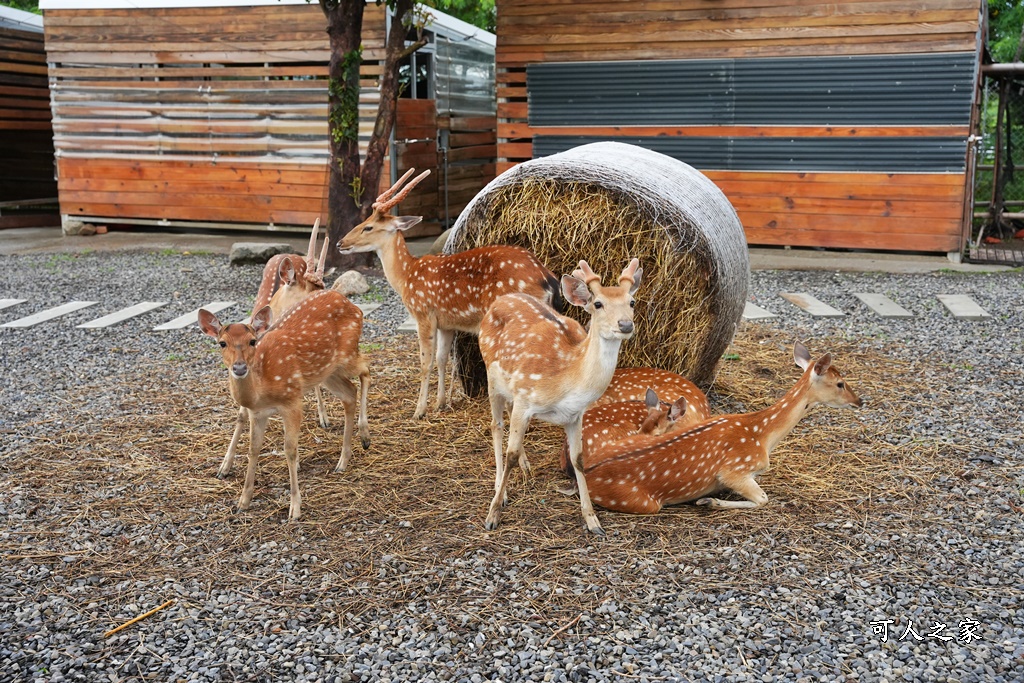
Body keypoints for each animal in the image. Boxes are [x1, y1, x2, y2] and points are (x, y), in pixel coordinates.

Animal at [197, 286, 370, 518]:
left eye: (252, 341)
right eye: (222, 343)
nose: (240, 367)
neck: (263, 389)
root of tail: (353, 306)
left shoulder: (292, 401)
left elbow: (290, 450)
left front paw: (295, 507)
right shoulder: (257, 413)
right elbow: (253, 449)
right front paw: (243, 501)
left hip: (347, 355)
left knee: (366, 370)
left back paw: (365, 437)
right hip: (327, 372)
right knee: (350, 393)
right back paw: (343, 461)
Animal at [335, 167, 561, 419]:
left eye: (368, 227)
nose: (340, 243)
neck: (407, 277)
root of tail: (548, 280)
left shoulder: (424, 313)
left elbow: (426, 362)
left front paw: (419, 410)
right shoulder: (447, 323)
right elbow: (442, 359)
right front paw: (440, 403)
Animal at [477, 255, 638, 532]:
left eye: (632, 301)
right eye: (598, 303)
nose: (626, 324)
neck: (566, 379)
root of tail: (499, 300)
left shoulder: (575, 415)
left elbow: (578, 459)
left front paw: (592, 520)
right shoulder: (525, 397)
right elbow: (510, 454)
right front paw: (493, 515)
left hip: (509, 387)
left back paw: (527, 468)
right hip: (492, 376)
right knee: (496, 427)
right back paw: (501, 490)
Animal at [581, 344, 860, 516]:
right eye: (840, 383)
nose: (860, 401)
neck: (763, 436)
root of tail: (586, 474)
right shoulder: (735, 470)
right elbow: (763, 499)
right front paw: (708, 501)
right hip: (644, 502)